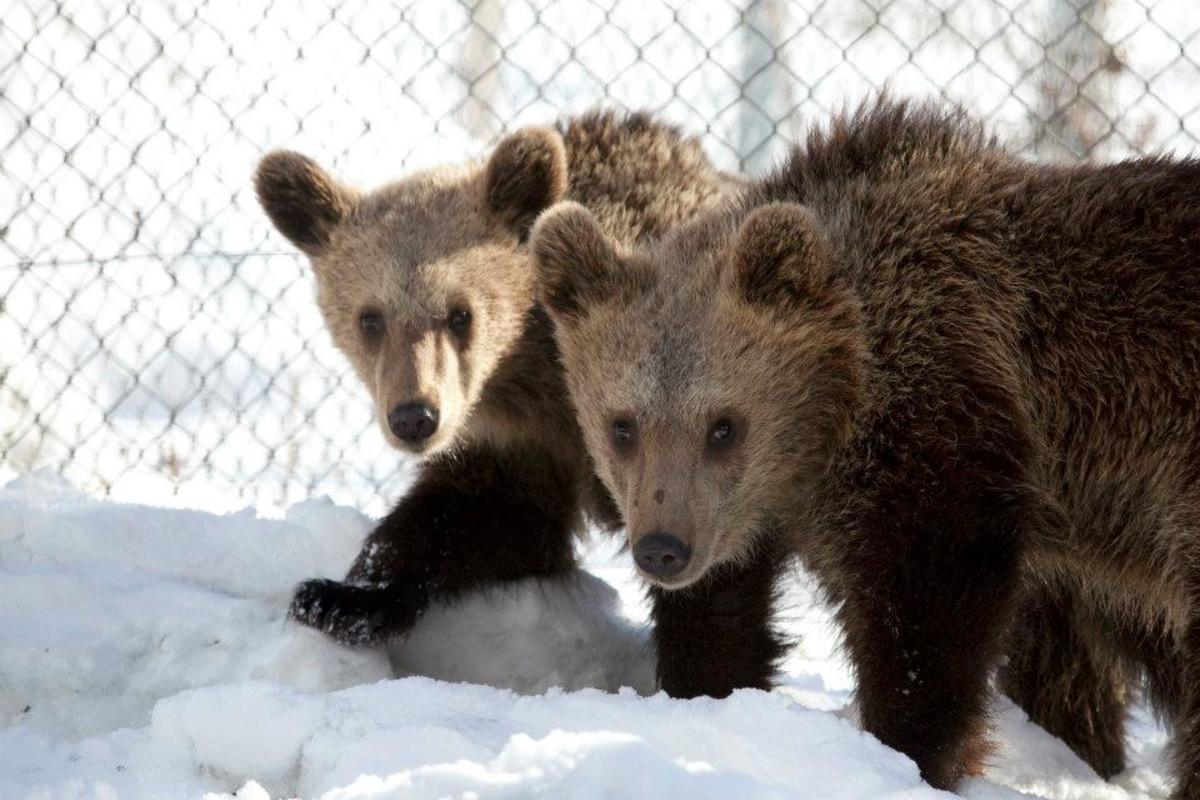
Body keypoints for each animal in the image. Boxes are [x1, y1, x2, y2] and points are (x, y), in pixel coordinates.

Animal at [255, 112, 777, 676]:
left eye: (460, 313)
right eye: (370, 318)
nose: (415, 416)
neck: (540, 375)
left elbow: (713, 567)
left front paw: (705, 674)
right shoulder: (525, 446)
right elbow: (477, 515)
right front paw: (342, 598)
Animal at [532, 98, 1200, 796]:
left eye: (724, 425)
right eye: (623, 425)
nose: (663, 549)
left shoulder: (941, 430)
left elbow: (925, 616)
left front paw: (910, 752)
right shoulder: (753, 511)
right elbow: (725, 618)